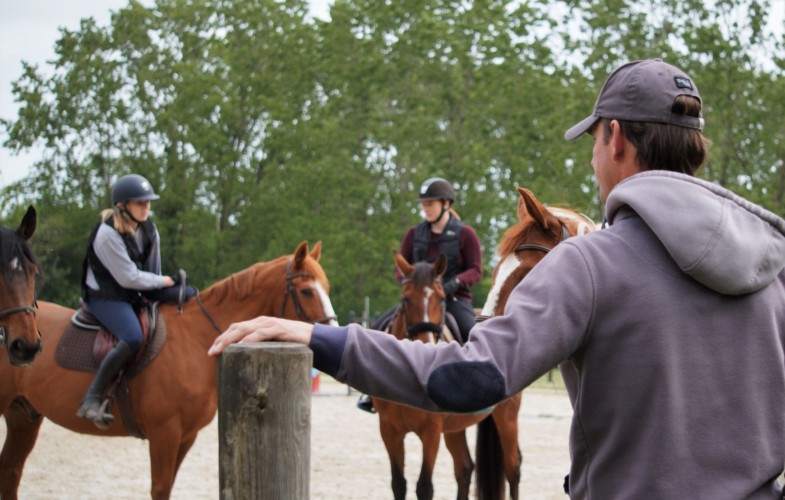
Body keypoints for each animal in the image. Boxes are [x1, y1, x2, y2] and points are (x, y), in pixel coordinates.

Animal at [0, 240, 334, 498]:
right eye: (307, 291)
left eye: (327, 288)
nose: (333, 329)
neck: (196, 336)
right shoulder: (165, 433)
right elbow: (159, 489)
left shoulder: (186, 436)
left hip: (23, 417)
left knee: (11, 471)